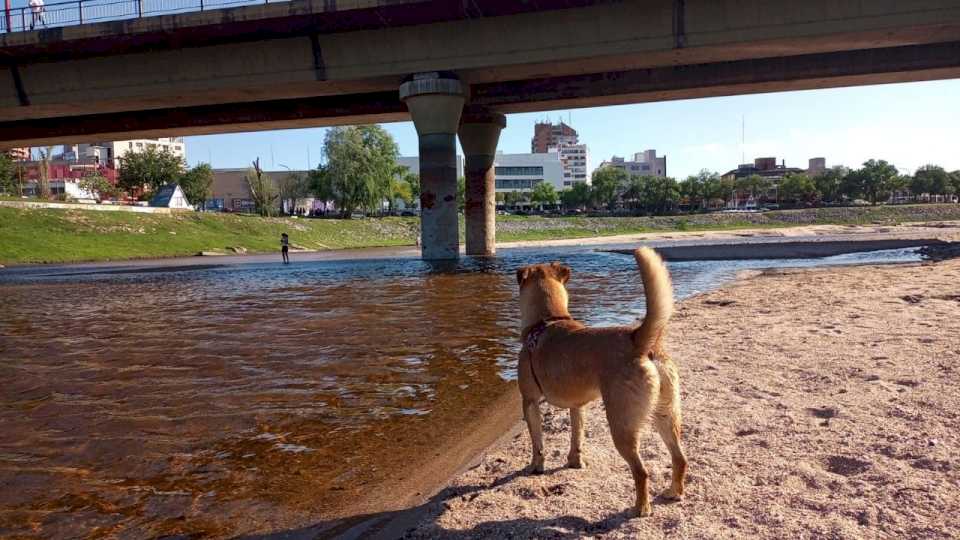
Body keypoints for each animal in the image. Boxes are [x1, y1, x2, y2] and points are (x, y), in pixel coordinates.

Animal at [512, 247, 688, 516]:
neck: (548, 320)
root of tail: (638, 340)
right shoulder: (578, 406)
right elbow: (576, 437)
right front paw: (575, 462)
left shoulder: (529, 402)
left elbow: (537, 443)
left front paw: (535, 467)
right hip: (666, 415)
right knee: (680, 458)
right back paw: (673, 492)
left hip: (622, 425)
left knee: (641, 472)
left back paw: (641, 507)